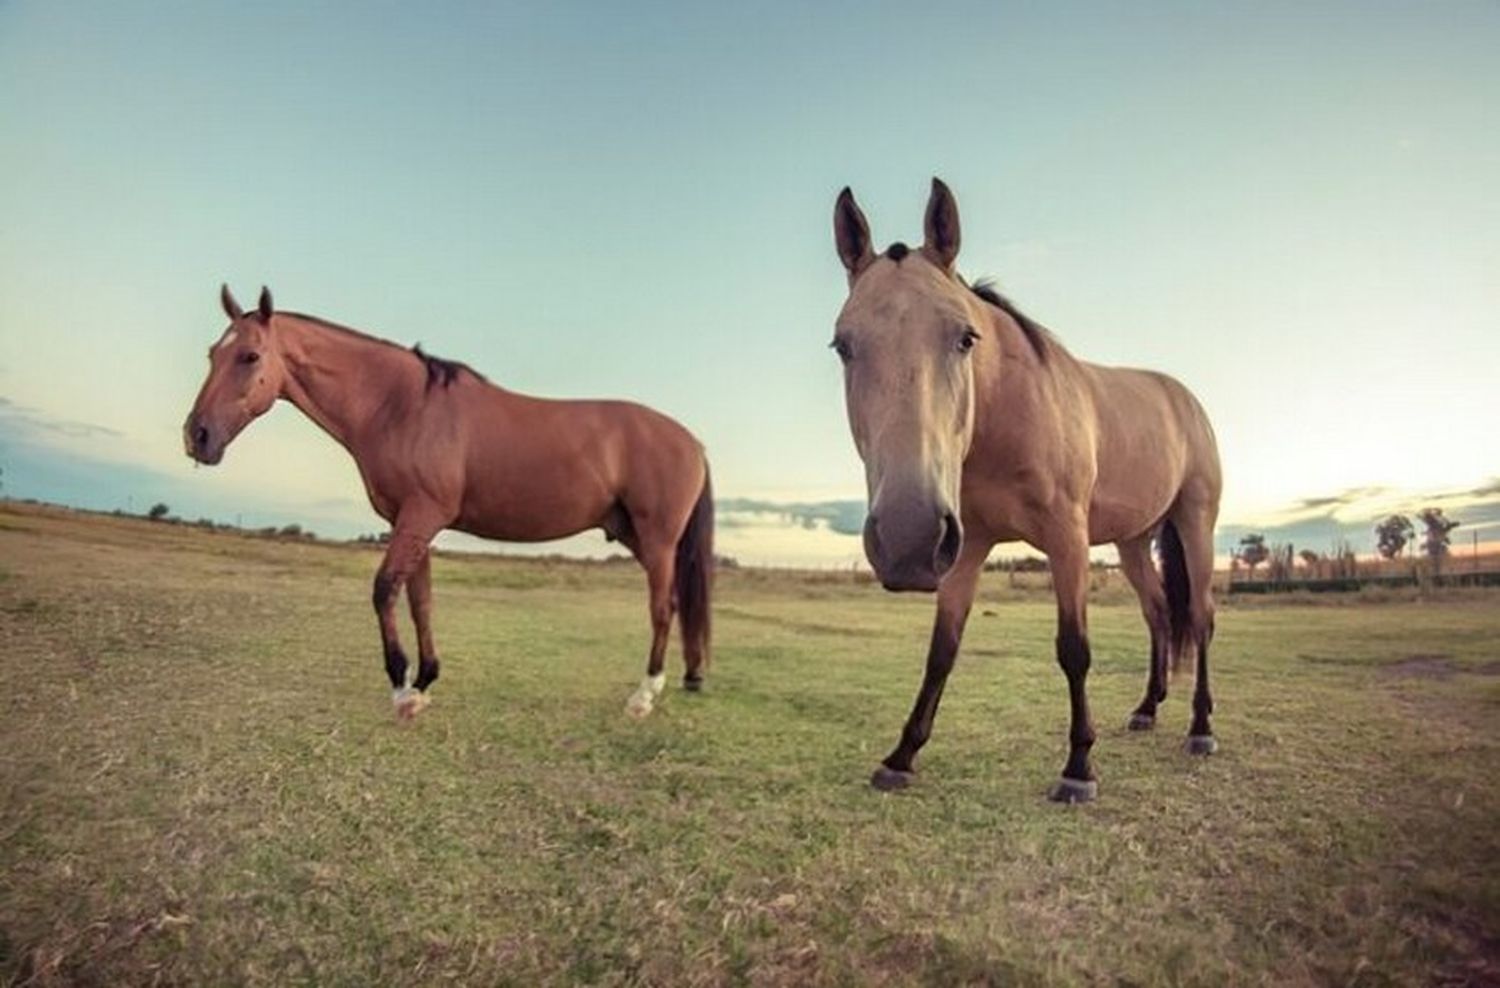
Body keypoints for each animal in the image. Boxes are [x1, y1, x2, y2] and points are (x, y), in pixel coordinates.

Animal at [184, 286, 711, 719]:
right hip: (633, 535)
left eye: (250, 355)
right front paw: (423, 683)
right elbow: (421, 601)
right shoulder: (412, 521)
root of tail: (692, 442)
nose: (197, 437)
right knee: (676, 601)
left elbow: (384, 590)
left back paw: (643, 696)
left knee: (662, 606)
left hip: (657, 539)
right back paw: (689, 676)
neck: (403, 406)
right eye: (213, 354)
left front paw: (401, 689)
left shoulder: (421, 516)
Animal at [828, 179, 1224, 803]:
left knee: (1201, 617)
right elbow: (942, 651)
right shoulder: (964, 547)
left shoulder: (1067, 540)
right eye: (843, 345)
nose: (905, 538)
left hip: (1195, 524)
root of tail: (1184, 397)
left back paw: (1201, 727)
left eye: (965, 338)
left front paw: (1078, 767)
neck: (1010, 413)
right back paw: (1146, 709)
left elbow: (1074, 649)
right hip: (1133, 542)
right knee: (1159, 613)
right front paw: (901, 755)